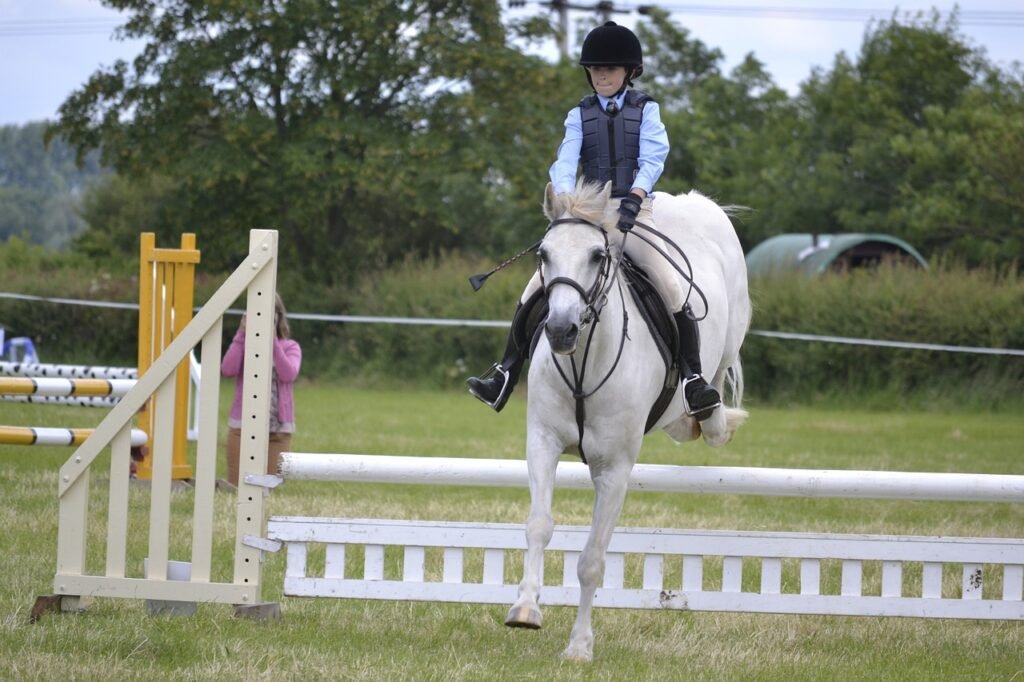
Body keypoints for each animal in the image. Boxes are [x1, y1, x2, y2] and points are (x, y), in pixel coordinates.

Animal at [505, 180, 753, 659]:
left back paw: (706, 412)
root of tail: (697, 203)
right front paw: (525, 610)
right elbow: (539, 526)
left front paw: (579, 647)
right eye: (544, 254)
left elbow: (592, 559)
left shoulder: (614, 469)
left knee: (713, 388)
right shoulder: (542, 444)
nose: (560, 330)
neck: (583, 363)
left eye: (596, 256)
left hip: (729, 333)